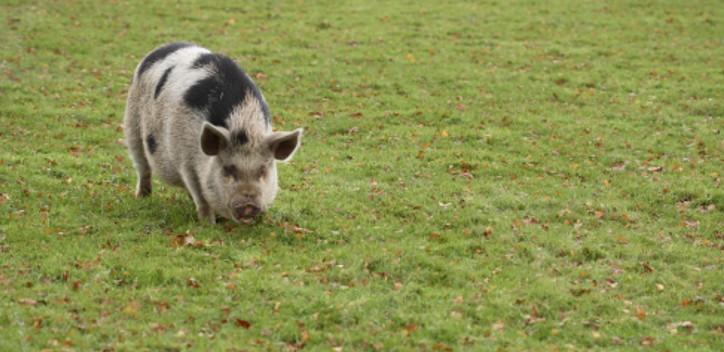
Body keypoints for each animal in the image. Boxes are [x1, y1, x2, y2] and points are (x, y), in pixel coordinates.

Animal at [123, 42, 302, 224]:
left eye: (263, 171)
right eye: (228, 170)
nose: (249, 204)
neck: (244, 127)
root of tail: (162, 47)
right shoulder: (185, 161)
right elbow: (200, 195)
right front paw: (208, 223)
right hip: (132, 123)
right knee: (142, 166)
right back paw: (143, 197)